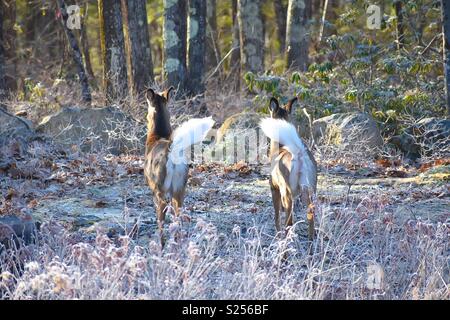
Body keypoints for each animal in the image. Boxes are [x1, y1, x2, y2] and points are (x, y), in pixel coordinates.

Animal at [144, 87, 214, 245]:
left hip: (161, 189)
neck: (156, 137)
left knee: (162, 219)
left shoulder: (154, 190)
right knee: (178, 218)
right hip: (180, 189)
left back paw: (161, 245)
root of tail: (172, 149)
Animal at [258, 97, 318, 242]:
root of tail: (299, 154)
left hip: (287, 194)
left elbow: (276, 217)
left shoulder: (274, 189)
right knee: (311, 218)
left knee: (289, 222)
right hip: (309, 191)